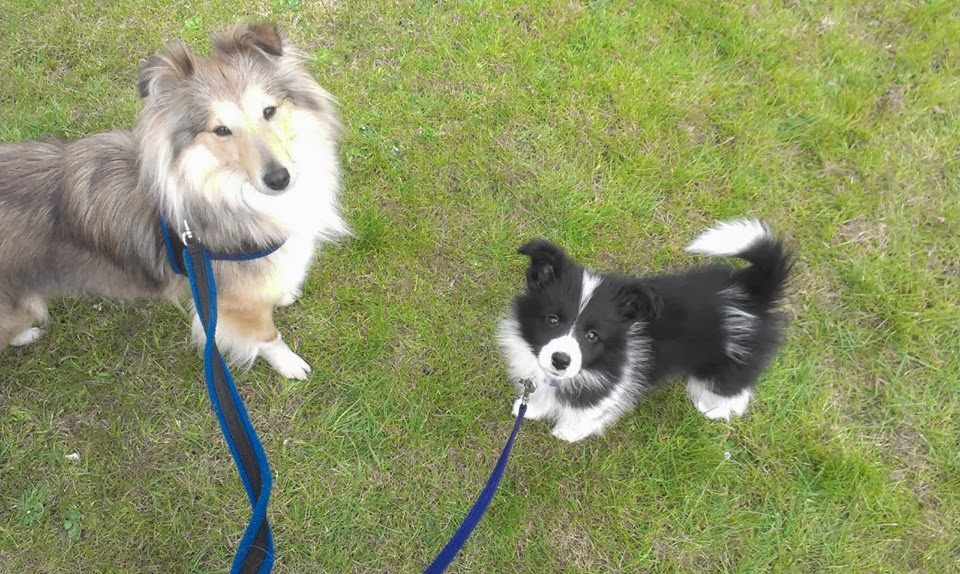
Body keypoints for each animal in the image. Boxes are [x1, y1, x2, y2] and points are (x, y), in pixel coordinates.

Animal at [0, 23, 348, 379]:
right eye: (221, 130)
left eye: (269, 111)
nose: (280, 179)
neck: (226, 190)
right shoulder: (235, 304)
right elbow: (266, 337)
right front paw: (289, 365)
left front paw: (284, 293)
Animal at [499, 219, 793, 442]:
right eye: (552, 320)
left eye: (592, 336)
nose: (561, 360)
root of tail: (750, 290)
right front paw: (529, 409)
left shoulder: (609, 382)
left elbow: (587, 410)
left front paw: (566, 433)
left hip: (733, 359)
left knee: (733, 387)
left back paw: (713, 409)